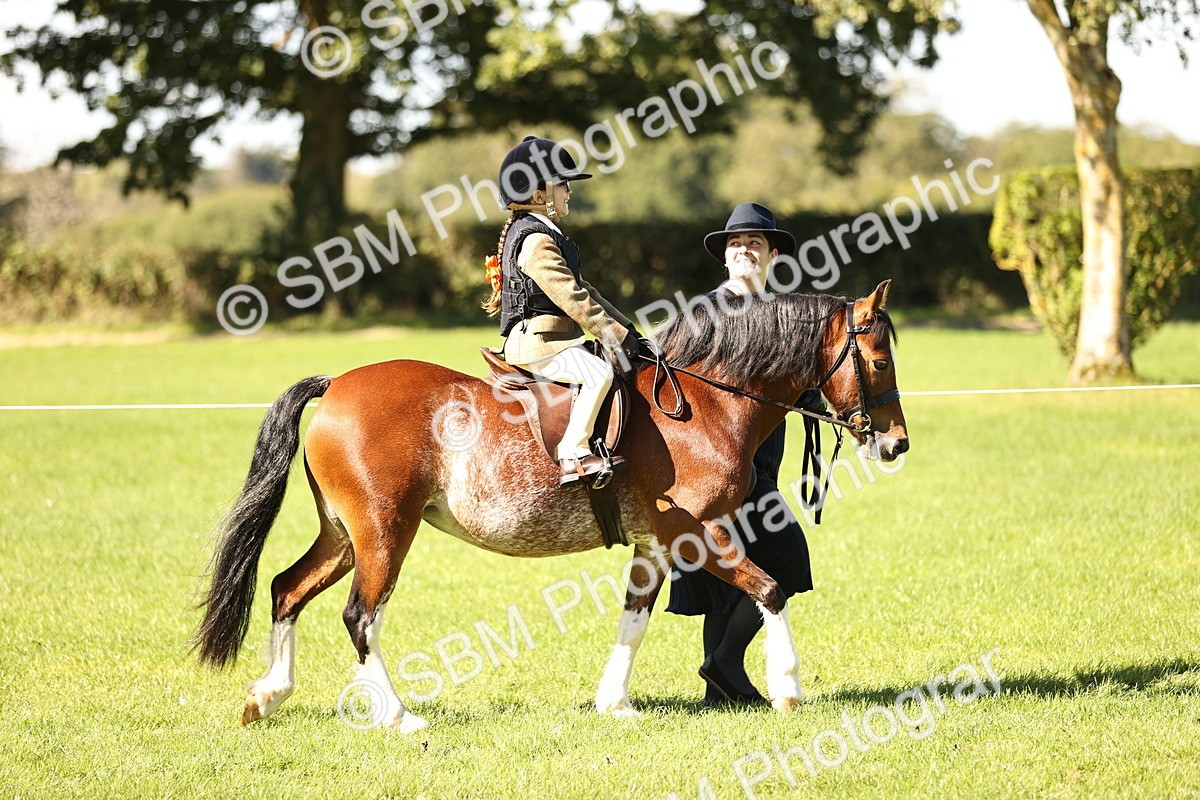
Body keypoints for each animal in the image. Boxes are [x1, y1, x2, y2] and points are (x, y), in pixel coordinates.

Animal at [192, 280, 908, 732]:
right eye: (877, 360)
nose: (897, 442)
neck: (706, 401)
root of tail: (337, 383)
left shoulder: (655, 545)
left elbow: (634, 618)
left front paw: (614, 704)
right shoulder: (697, 532)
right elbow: (770, 589)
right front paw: (787, 686)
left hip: (342, 535)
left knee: (287, 589)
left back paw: (267, 696)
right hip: (382, 533)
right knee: (359, 616)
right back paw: (397, 716)